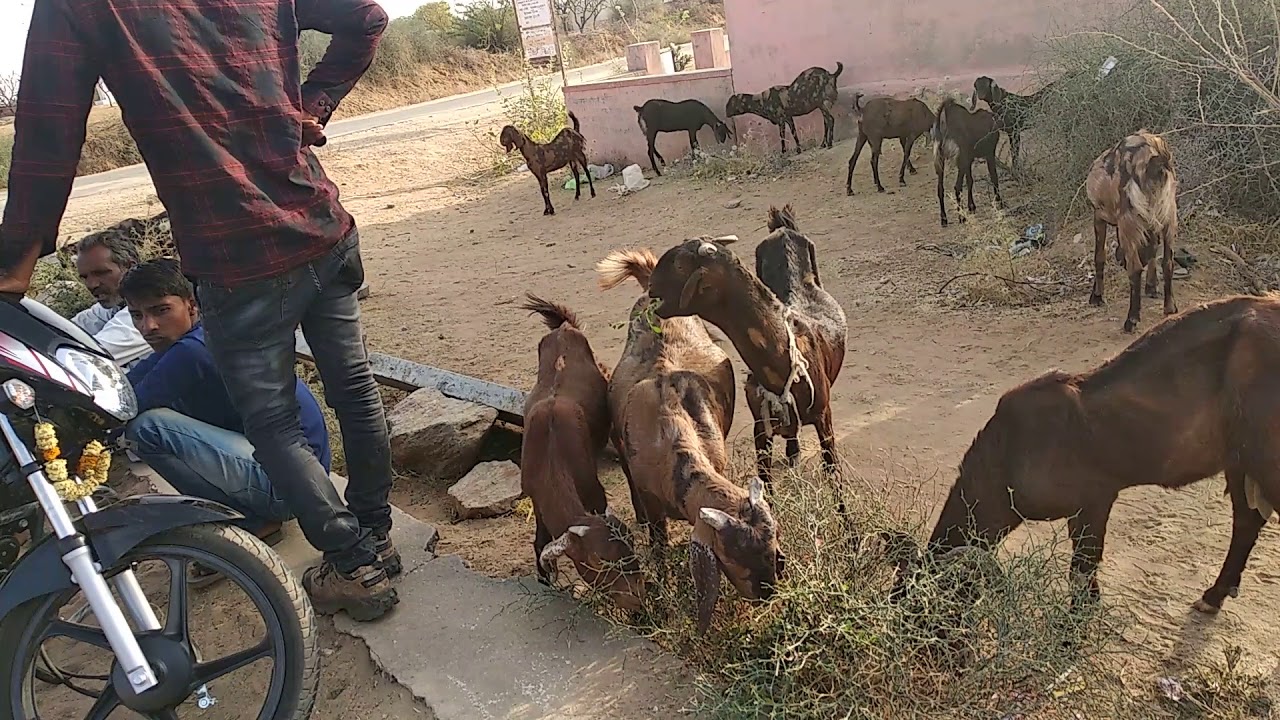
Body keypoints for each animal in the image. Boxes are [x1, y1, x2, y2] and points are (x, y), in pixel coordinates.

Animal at [517, 294, 645, 610]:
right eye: (599, 563)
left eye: (631, 550)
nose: (637, 601)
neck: (551, 456)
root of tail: (564, 329)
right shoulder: (535, 498)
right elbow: (539, 542)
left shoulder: (594, 492)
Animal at [644, 207, 848, 500]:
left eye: (680, 264)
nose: (650, 285)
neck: (783, 362)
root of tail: (782, 229)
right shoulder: (760, 426)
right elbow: (765, 482)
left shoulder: (824, 416)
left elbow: (834, 477)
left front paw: (846, 514)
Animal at [909, 295, 1280, 616]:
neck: (1006, 455)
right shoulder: (1082, 511)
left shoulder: (1096, 500)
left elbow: (1082, 567)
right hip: (1239, 463)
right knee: (1247, 521)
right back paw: (1214, 595)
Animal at [932, 98, 1002, 227]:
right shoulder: (989, 153)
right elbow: (994, 177)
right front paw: (999, 203)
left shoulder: (969, 160)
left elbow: (970, 181)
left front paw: (972, 207)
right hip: (960, 159)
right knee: (957, 187)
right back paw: (961, 217)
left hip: (941, 161)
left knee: (940, 189)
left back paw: (944, 219)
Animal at [1085, 130, 1179, 333]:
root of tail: (1154, 155)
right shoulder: (1153, 221)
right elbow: (1153, 251)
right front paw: (1151, 286)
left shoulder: (1099, 216)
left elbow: (1099, 256)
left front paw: (1097, 296)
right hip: (1169, 217)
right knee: (1168, 262)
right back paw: (1170, 307)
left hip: (1127, 219)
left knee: (1135, 269)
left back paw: (1131, 320)